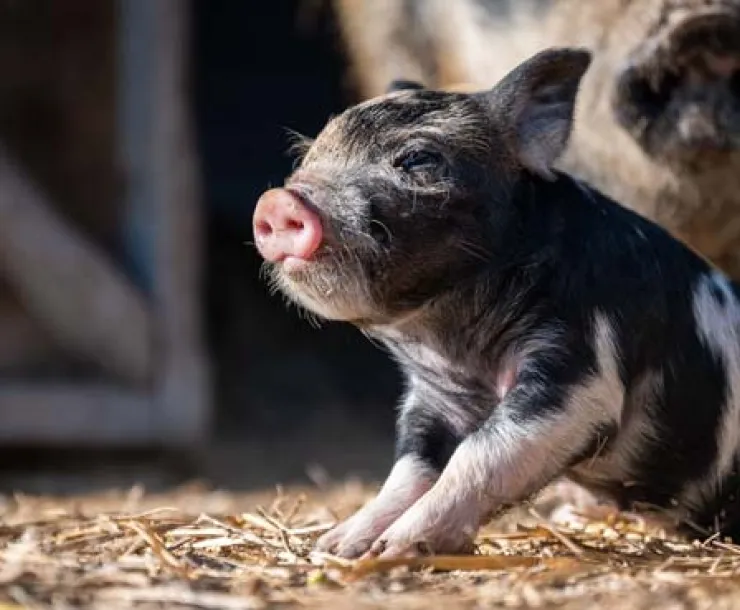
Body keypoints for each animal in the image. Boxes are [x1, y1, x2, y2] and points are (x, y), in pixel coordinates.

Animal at [252, 47, 740, 559]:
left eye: (418, 158)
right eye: (308, 155)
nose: (277, 202)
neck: (457, 349)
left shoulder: (582, 369)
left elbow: (481, 453)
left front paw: (394, 549)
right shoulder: (432, 399)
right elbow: (409, 469)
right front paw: (337, 547)